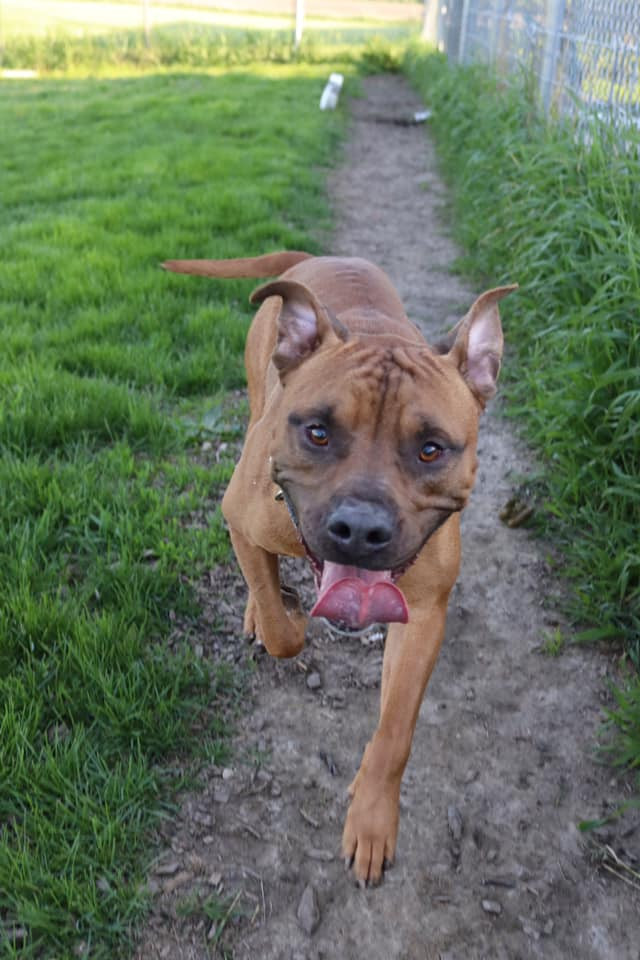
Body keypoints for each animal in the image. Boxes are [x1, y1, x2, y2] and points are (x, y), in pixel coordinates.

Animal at [164, 253, 516, 884]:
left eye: (431, 448)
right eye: (318, 432)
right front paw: (285, 617)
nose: (359, 528)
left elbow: (395, 731)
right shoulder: (241, 517)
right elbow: (282, 629)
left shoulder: (424, 615)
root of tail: (310, 260)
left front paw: (371, 819)